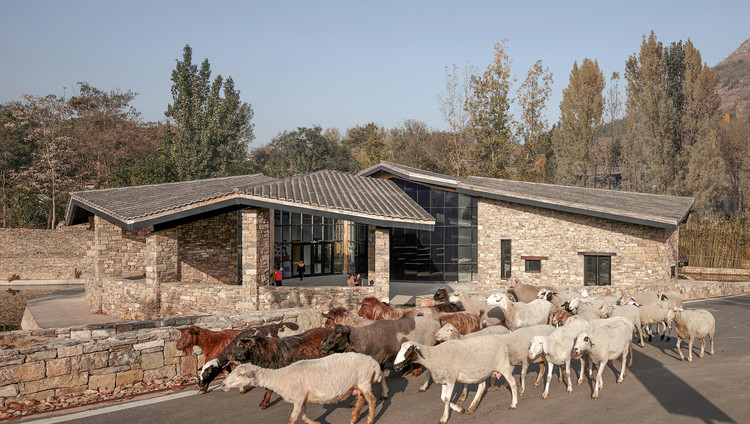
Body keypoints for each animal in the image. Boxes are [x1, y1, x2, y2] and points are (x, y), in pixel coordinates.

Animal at [220, 352, 378, 424]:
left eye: (240, 374)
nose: (222, 385)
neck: (280, 378)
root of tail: (373, 361)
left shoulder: (298, 398)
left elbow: (292, 419)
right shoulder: (302, 398)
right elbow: (303, 416)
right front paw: (317, 423)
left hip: (364, 381)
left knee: (372, 400)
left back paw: (369, 420)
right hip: (358, 384)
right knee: (362, 399)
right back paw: (354, 417)